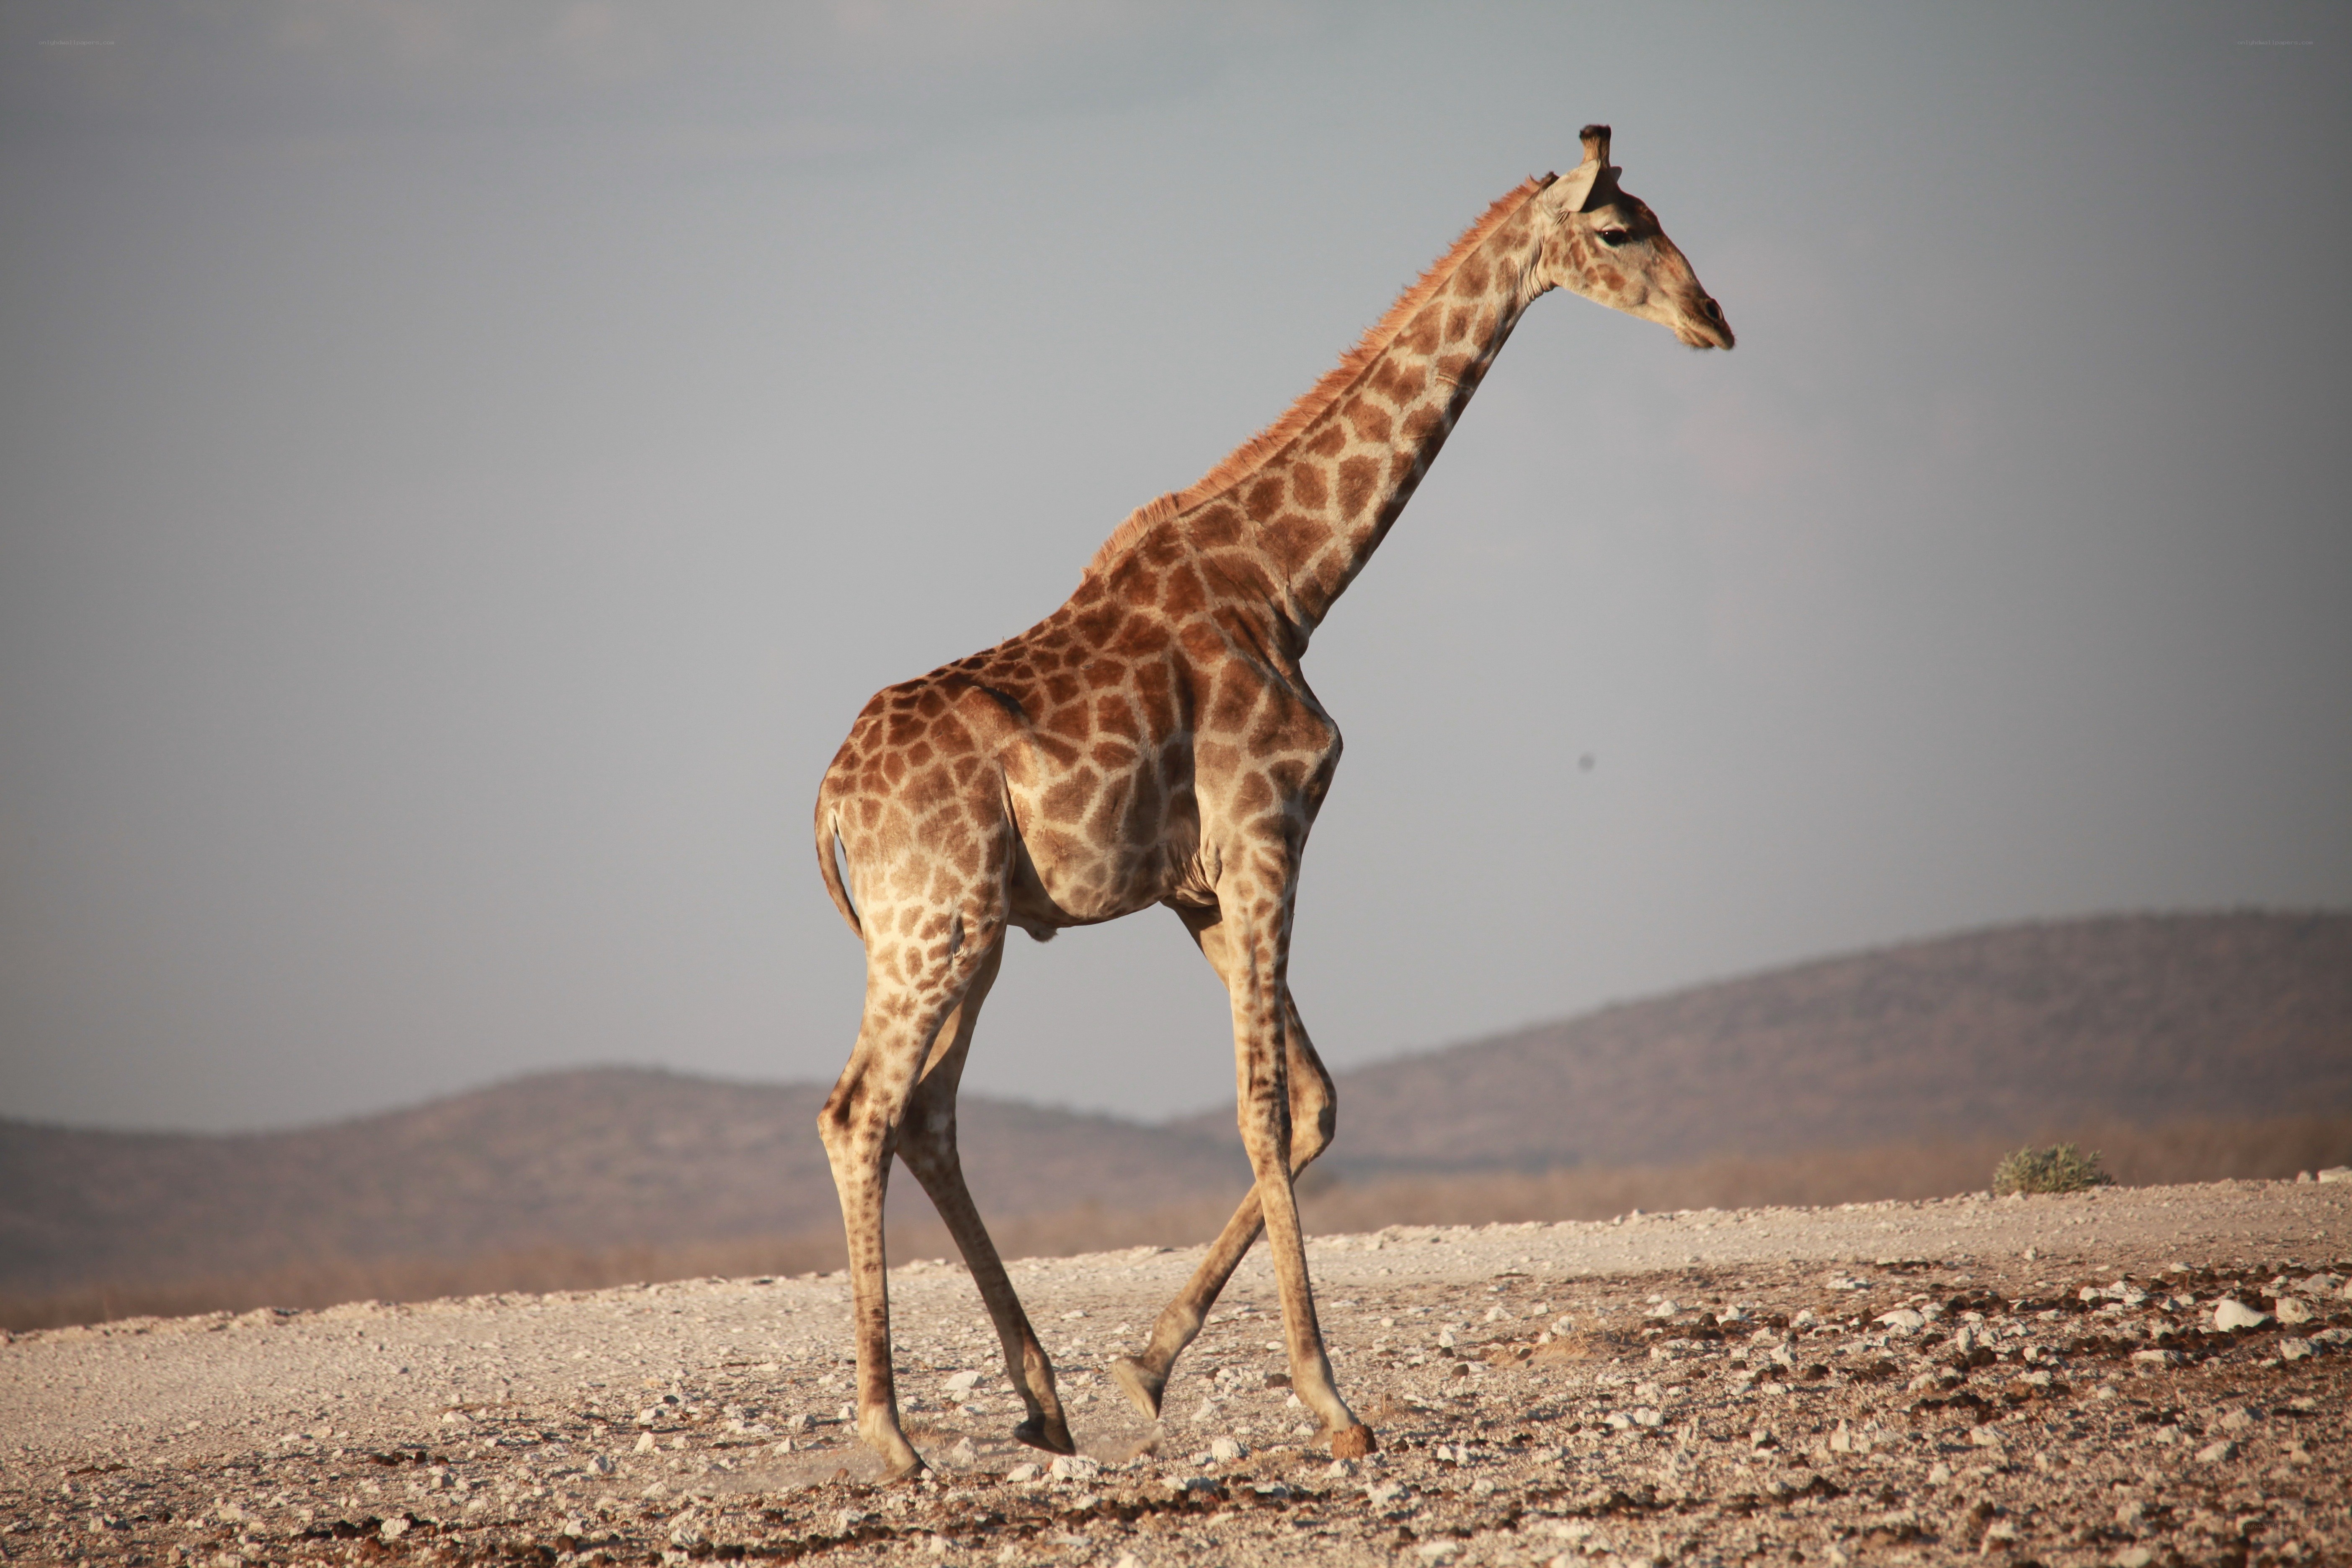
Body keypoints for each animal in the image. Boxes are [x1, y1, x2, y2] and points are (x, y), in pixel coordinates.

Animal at [811, 125, 1731, 1478]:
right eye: (1622, 231)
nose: (1713, 319)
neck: (1290, 583)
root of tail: (827, 797)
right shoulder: (1265, 831)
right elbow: (1262, 1109)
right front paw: (1330, 1401)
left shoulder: (1199, 887)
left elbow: (1315, 1106)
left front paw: (1145, 1366)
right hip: (933, 926)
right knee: (860, 1113)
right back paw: (891, 1432)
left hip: (970, 933)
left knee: (926, 1114)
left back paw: (1042, 1401)